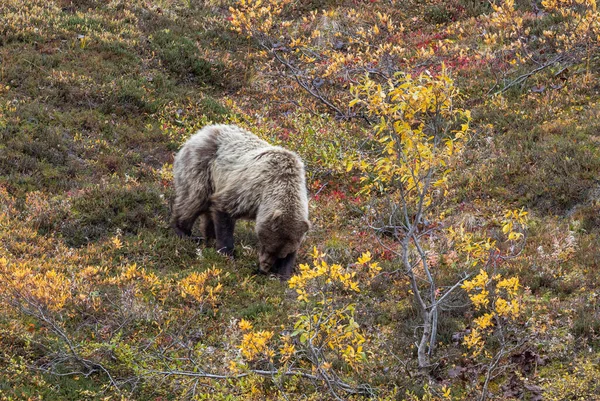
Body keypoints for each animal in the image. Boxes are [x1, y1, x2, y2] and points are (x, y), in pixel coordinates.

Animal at [170, 123, 308, 276]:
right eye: (268, 246)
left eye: (281, 254)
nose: (264, 268)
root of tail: (201, 132)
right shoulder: (250, 190)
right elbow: (224, 210)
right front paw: (227, 253)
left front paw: (283, 272)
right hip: (202, 167)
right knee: (194, 199)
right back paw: (186, 233)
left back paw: (207, 238)